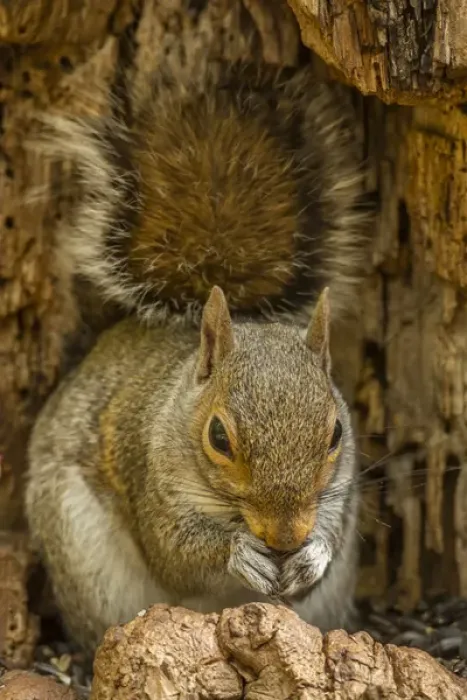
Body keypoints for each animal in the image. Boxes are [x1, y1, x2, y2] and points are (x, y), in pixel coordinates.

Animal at [25, 61, 368, 654]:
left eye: (336, 434)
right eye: (218, 438)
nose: (286, 537)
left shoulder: (340, 492)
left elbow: (329, 537)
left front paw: (313, 554)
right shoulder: (146, 469)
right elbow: (176, 555)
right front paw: (239, 553)